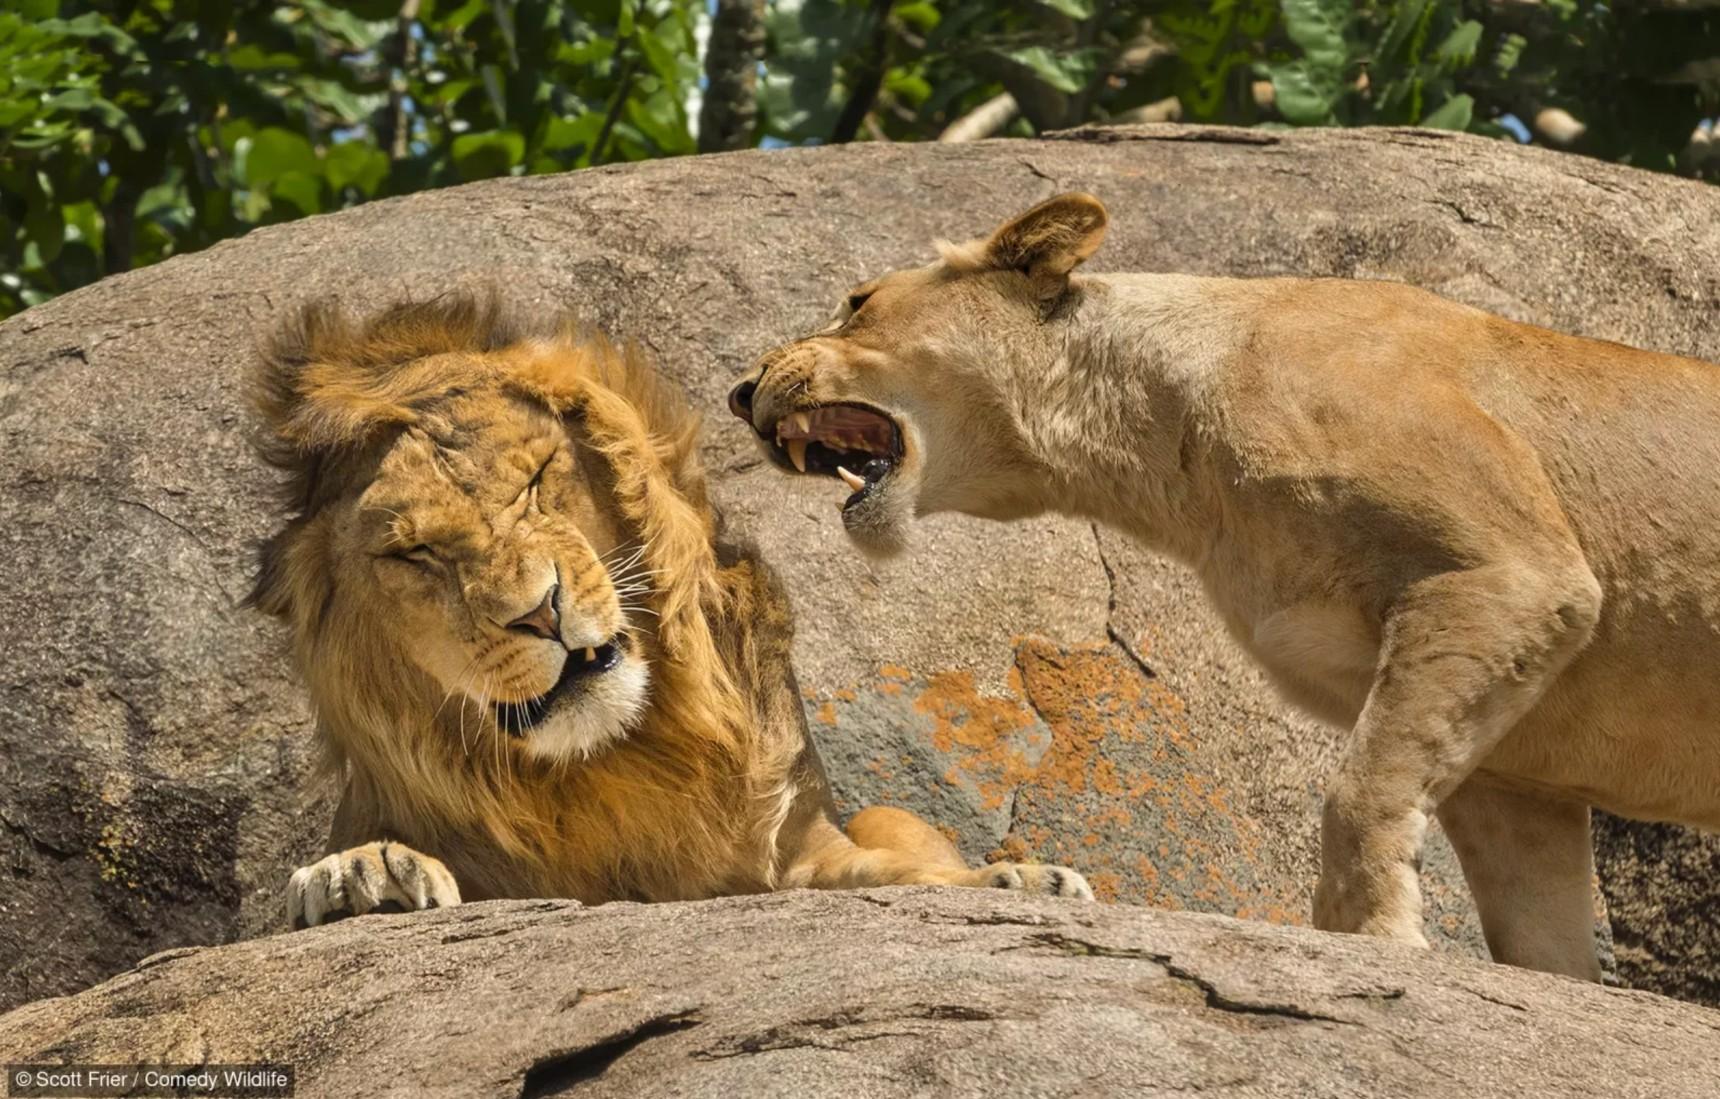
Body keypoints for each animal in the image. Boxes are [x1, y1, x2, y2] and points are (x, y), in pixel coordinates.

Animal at [249, 292, 1087, 928]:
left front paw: (1019, 879)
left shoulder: (798, 847)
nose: (540, 611)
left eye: (535, 479)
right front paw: (361, 874)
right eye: (413, 553)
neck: (616, 761)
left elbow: (887, 873)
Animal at [725, 196, 1720, 976]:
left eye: (857, 303)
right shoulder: (1516, 766)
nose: (740, 390)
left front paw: (1371, 940)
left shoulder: (1510, 573)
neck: (1167, 451)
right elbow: (1538, 930)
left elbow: (1360, 789)